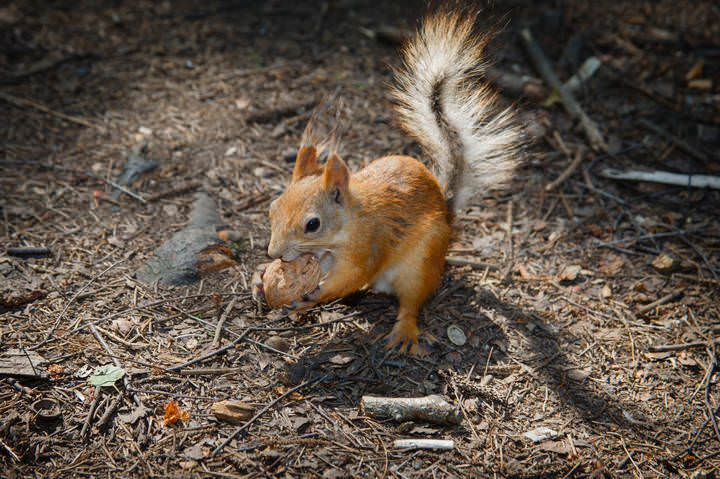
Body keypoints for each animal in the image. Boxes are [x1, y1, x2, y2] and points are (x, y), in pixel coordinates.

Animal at [252, 6, 521, 354]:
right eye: (272, 210)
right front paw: (260, 278)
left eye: (312, 224)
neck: (347, 225)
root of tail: (448, 215)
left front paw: (311, 298)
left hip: (419, 265)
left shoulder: (368, 248)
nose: (274, 254)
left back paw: (403, 332)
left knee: (411, 302)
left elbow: (351, 277)